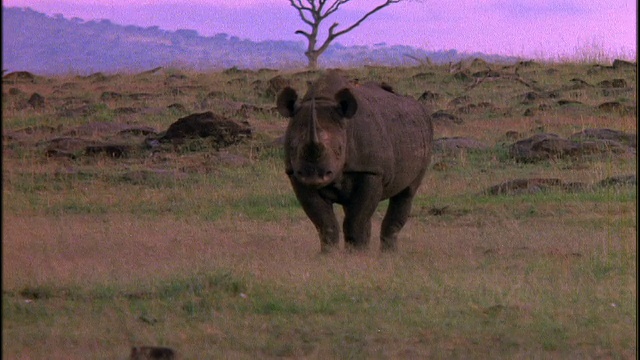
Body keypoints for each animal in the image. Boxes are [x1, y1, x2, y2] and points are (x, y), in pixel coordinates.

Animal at [276, 69, 436, 250]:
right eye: (292, 148)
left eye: (339, 149)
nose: (314, 176)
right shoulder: (296, 175)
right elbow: (324, 222)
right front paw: (329, 253)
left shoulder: (371, 171)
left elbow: (356, 220)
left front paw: (356, 254)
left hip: (423, 134)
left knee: (406, 193)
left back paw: (388, 254)